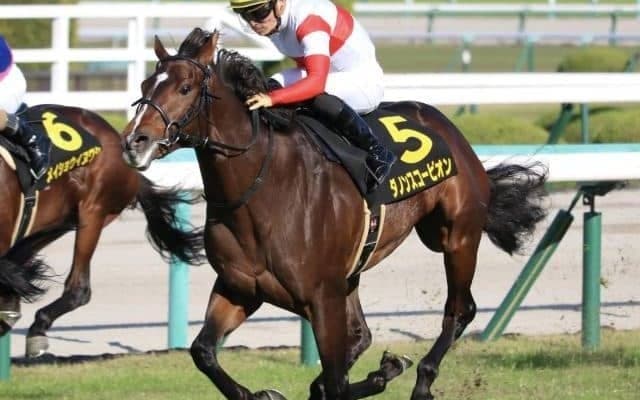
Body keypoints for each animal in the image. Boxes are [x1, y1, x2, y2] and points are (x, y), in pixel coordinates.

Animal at [121, 28, 548, 400]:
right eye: (144, 87)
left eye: (184, 88)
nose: (133, 142)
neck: (262, 189)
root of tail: (449, 128)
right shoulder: (241, 287)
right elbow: (204, 351)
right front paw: (261, 393)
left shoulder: (321, 297)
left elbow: (336, 380)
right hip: (353, 271)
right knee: (360, 338)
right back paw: (384, 371)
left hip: (455, 235)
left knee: (459, 310)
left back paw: (422, 381)